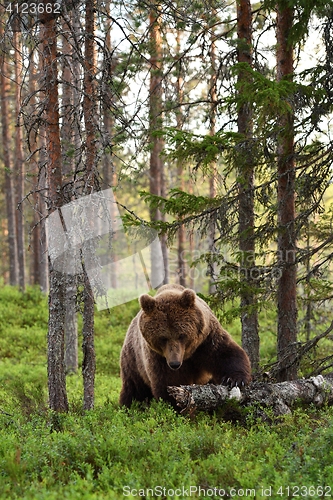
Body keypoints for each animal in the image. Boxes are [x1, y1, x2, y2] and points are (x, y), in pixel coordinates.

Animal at [118, 284, 250, 408]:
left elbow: (225, 353)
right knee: (134, 390)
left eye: (181, 335)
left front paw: (234, 380)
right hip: (133, 362)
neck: (187, 355)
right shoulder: (157, 357)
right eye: (163, 338)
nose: (174, 363)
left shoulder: (206, 340)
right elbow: (168, 381)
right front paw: (176, 402)